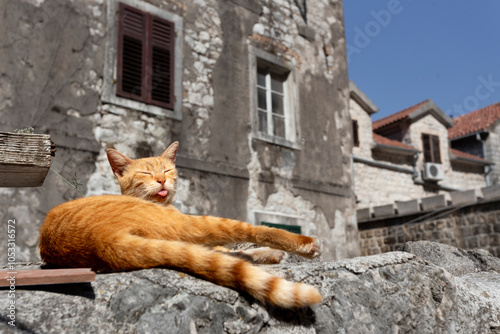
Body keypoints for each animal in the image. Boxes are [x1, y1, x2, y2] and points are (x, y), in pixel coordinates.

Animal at [38, 141, 320, 308]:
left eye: (167, 170)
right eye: (146, 173)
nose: (162, 180)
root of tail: (100, 239)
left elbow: (235, 253)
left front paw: (268, 255)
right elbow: (239, 247)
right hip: (197, 224)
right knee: (254, 231)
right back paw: (306, 245)